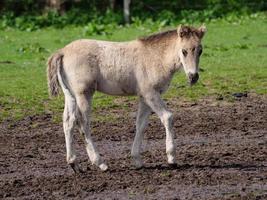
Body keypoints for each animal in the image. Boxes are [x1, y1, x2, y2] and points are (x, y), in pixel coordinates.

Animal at [47, 24, 207, 172]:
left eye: (200, 51)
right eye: (184, 51)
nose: (193, 77)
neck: (155, 56)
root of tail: (62, 52)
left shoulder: (144, 98)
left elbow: (141, 125)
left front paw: (137, 160)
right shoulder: (150, 94)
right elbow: (167, 117)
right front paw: (171, 158)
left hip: (70, 95)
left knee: (68, 121)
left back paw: (74, 163)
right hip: (84, 94)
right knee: (83, 123)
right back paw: (100, 163)